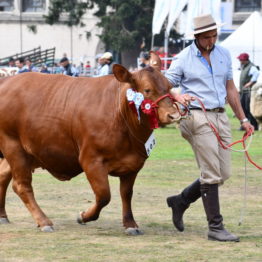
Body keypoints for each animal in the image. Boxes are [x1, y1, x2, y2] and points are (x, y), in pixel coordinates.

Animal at [0, 52, 180, 234]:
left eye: (170, 86)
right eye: (147, 90)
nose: (174, 115)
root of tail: (7, 81)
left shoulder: (133, 164)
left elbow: (126, 194)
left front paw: (130, 224)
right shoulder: (91, 160)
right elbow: (103, 195)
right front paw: (84, 216)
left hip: (25, 152)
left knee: (3, 175)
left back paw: (3, 216)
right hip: (13, 146)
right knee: (21, 185)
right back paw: (44, 221)